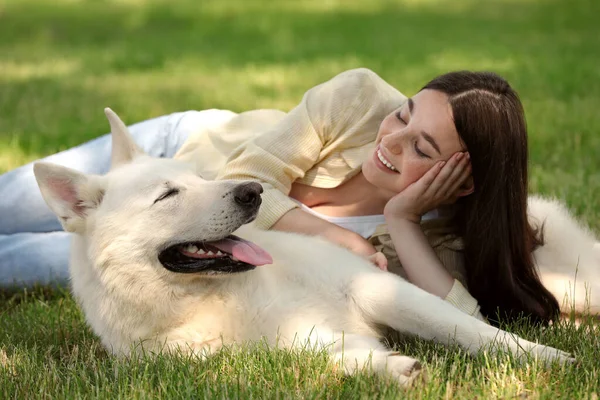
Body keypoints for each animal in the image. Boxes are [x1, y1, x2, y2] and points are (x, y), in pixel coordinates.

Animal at [34, 108, 600, 384]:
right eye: (168, 195)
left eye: (200, 179)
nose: (252, 191)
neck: (216, 295)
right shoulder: (265, 350)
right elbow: (334, 354)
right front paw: (391, 368)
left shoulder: (378, 286)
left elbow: (475, 332)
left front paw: (547, 360)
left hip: (571, 283)